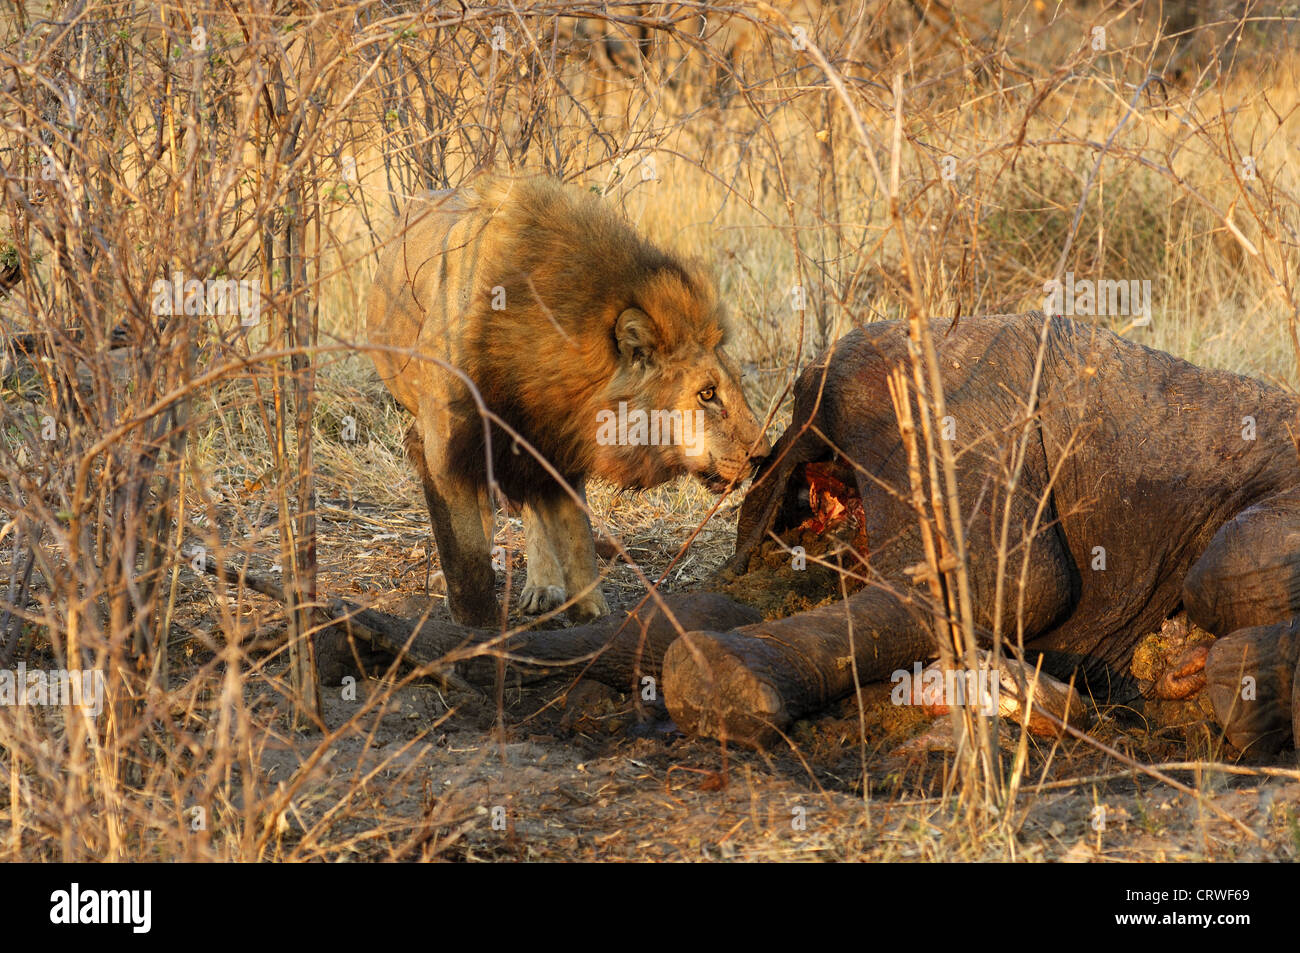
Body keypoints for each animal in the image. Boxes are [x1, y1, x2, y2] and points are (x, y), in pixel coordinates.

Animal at [366, 174, 764, 629]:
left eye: (734, 382)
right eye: (707, 393)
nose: (763, 455)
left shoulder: (563, 438)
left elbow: (576, 534)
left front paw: (591, 612)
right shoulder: (444, 449)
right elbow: (466, 558)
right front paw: (476, 628)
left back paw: (544, 587)